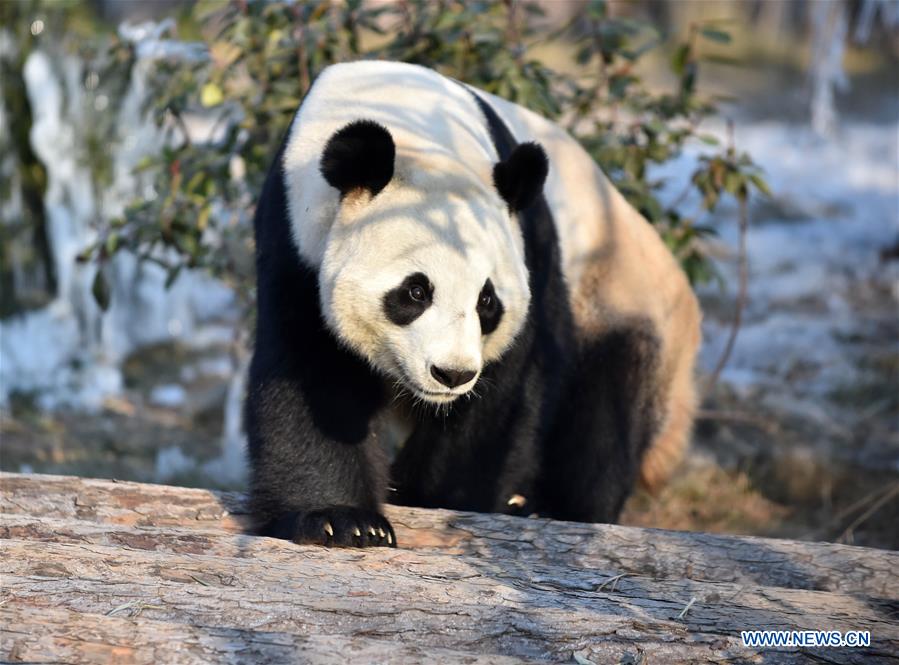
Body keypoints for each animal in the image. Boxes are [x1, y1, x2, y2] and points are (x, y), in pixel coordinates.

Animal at [246, 59, 704, 544]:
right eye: (415, 291)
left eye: (487, 301)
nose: (452, 374)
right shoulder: (295, 239)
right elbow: (312, 373)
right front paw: (342, 521)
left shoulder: (530, 249)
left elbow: (506, 396)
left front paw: (440, 499)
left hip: (617, 297)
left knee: (603, 422)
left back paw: (549, 509)